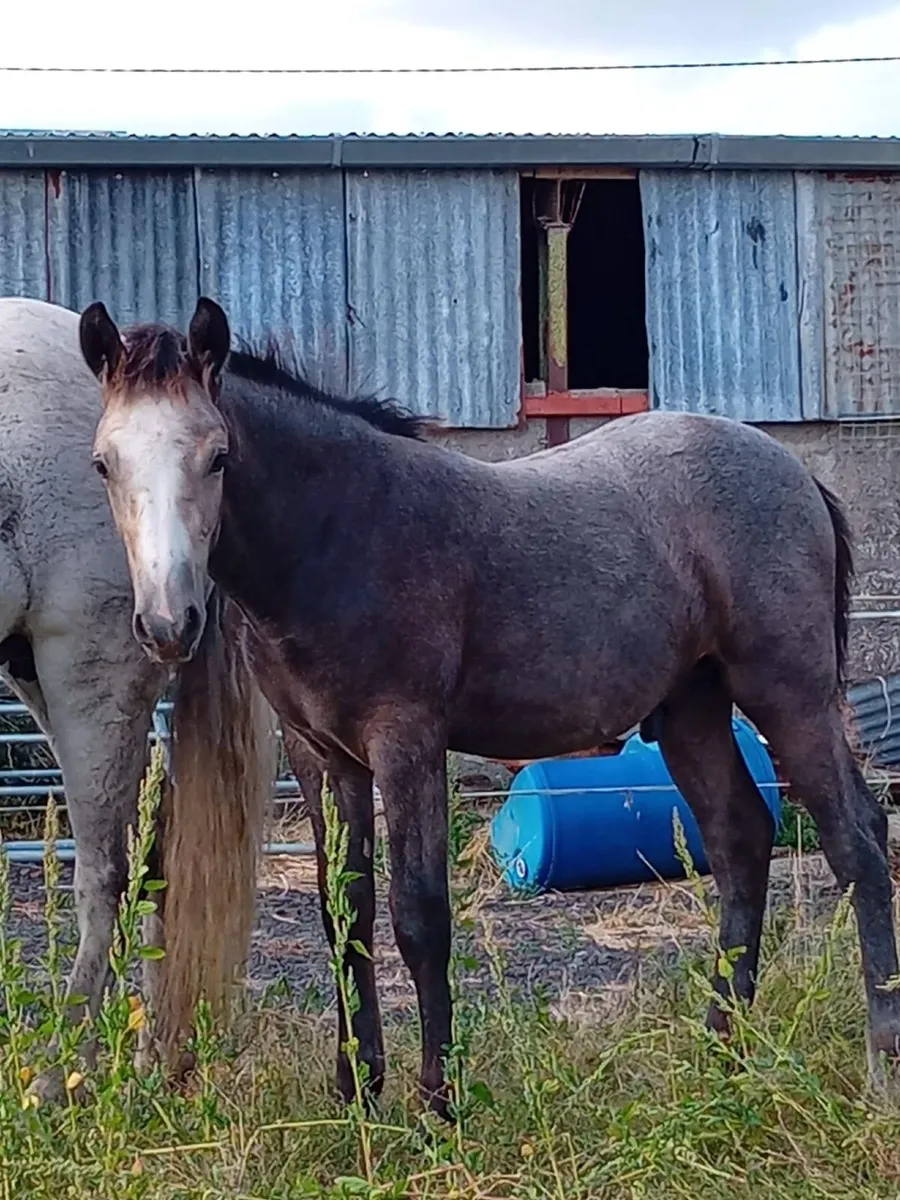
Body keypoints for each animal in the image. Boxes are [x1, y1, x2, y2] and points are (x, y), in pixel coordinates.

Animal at [0, 295, 326, 1104]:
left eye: (217, 459)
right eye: (105, 464)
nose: (171, 621)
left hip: (87, 669)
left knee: (107, 869)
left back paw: (62, 1074)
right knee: (154, 851)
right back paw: (152, 1055)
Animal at [81, 294, 900, 1118]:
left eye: (217, 456)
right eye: (104, 463)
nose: (168, 624)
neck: (340, 530)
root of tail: (796, 473)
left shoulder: (407, 741)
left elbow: (420, 916)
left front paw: (437, 1105)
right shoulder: (322, 755)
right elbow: (345, 912)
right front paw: (357, 1093)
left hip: (789, 695)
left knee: (858, 840)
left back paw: (878, 1063)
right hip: (692, 710)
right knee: (740, 841)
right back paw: (720, 1055)